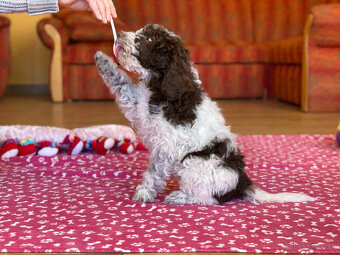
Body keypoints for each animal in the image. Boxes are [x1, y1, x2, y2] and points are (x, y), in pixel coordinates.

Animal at [93, 24, 316, 205]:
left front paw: (144, 193)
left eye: (148, 39)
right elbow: (122, 84)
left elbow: (154, 172)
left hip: (195, 164)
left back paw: (180, 197)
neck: (159, 86)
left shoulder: (166, 146)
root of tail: (242, 184)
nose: (120, 35)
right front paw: (103, 60)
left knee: (208, 199)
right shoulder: (138, 106)